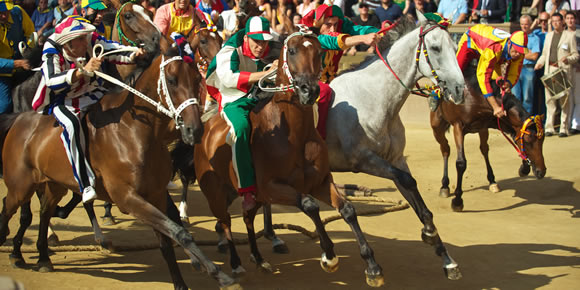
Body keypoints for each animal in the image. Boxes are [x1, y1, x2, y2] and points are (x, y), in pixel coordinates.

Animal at [0, 38, 238, 290]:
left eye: (196, 80)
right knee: (11, 207)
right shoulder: (127, 197)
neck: (135, 131)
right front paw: (215, 271)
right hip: (21, 186)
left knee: (44, 211)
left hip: (55, 185)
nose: (195, 130)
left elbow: (169, 240)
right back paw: (16, 248)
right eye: (172, 80)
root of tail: (19, 119)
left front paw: (193, 278)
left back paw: (43, 256)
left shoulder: (155, 194)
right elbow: (179, 232)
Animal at [193, 23, 388, 288]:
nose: (309, 90)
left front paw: (373, 267)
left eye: (318, 51)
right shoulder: (271, 187)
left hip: (247, 195)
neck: (294, 135)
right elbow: (309, 205)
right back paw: (235, 264)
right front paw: (329, 255)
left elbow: (348, 209)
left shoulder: (320, 181)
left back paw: (258, 258)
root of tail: (204, 132)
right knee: (226, 224)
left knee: (247, 217)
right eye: (292, 51)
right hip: (216, 194)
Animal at [430, 64, 548, 212]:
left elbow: (512, 137)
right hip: (437, 126)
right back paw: (445, 185)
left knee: (484, 149)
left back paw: (492, 181)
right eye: (527, 141)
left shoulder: (493, 121)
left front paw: (524, 167)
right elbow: (461, 163)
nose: (541, 171)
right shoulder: (458, 127)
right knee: (445, 149)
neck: (475, 97)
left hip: (482, 129)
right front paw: (457, 201)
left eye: (542, 140)